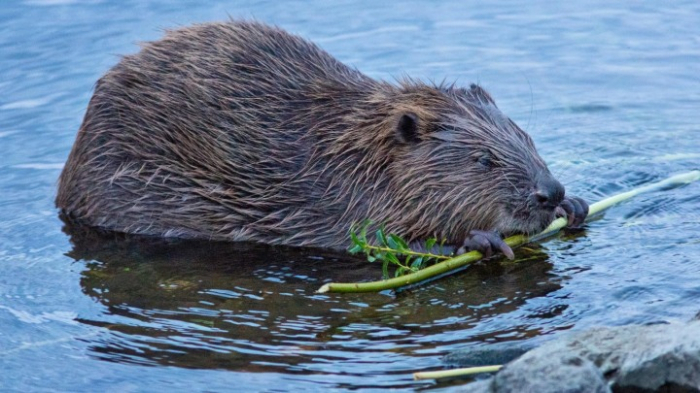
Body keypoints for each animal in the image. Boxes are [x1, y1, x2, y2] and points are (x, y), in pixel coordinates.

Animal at [56, 22, 592, 260]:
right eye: (482, 160)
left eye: (526, 136)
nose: (550, 192)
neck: (349, 155)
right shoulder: (336, 202)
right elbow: (375, 240)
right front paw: (480, 239)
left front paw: (578, 206)